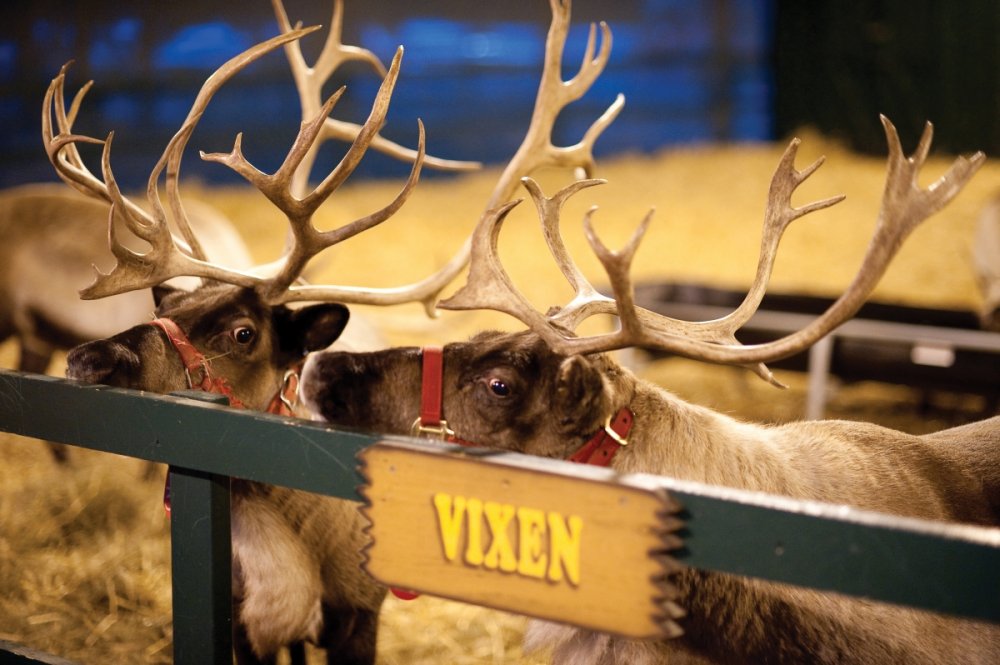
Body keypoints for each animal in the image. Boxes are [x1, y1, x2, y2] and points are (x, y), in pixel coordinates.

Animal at [53, 0, 622, 662]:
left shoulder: (357, 612)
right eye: (177, 305)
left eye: (242, 333)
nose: (90, 358)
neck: (290, 555)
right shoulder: (245, 624)